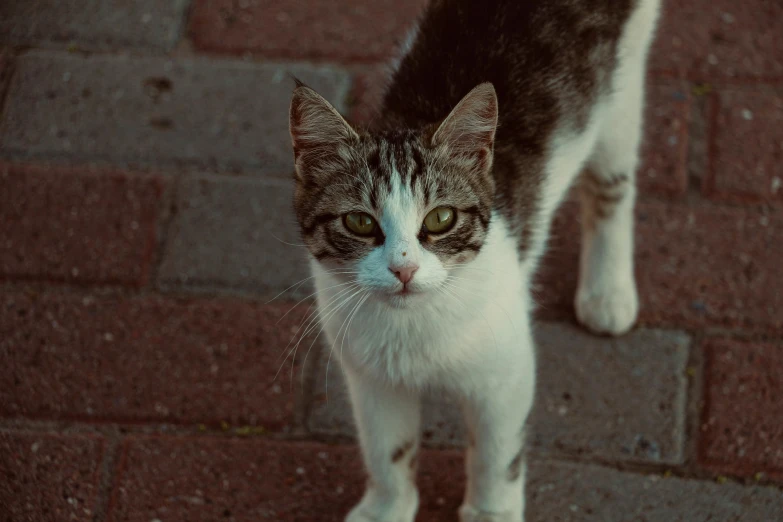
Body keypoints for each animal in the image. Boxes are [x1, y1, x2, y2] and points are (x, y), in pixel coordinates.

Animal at [288, 1, 660, 520]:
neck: (414, 327)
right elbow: (388, 450)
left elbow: (495, 453)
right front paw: (387, 507)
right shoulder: (370, 376)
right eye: (359, 222)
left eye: (441, 218)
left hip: (620, 91)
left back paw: (607, 291)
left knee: (612, 184)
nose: (403, 269)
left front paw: (490, 510)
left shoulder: (504, 374)